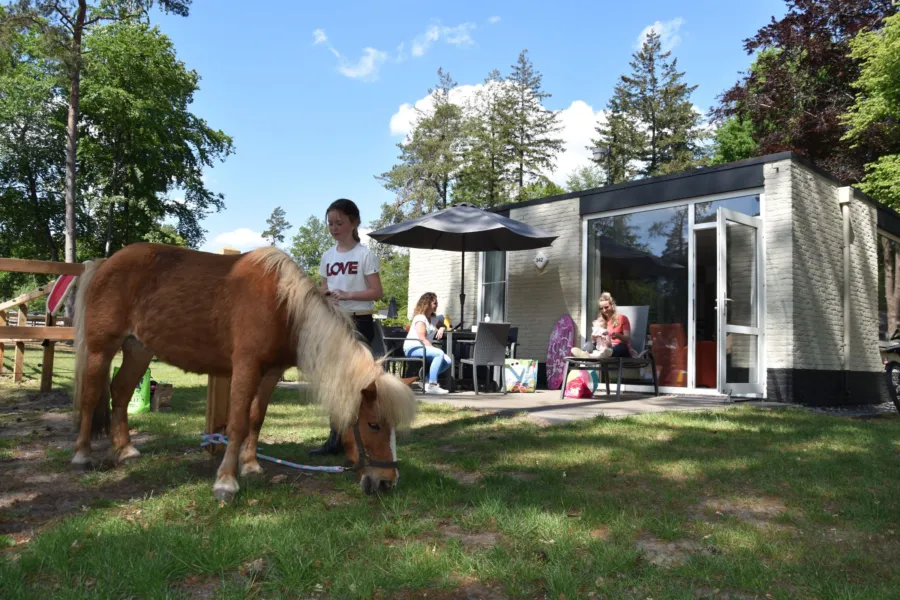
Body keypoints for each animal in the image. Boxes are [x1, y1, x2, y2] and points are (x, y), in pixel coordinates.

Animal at [70, 242, 418, 501]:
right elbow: (236, 422)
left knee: (120, 391)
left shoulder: (271, 372)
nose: (388, 481)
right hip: (102, 348)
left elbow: (255, 418)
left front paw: (250, 467)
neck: (283, 306)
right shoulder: (246, 367)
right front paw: (226, 481)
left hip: (139, 350)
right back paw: (82, 456)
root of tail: (106, 262)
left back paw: (125, 450)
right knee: (90, 396)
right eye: (373, 424)